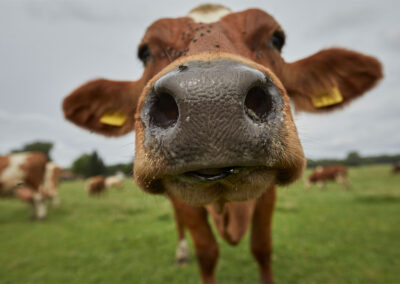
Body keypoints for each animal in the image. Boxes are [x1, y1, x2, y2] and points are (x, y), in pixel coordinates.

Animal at [61, 5, 382, 284]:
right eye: (145, 52)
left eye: (276, 39)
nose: (209, 99)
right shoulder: (183, 200)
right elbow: (206, 252)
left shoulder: (269, 194)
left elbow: (262, 248)